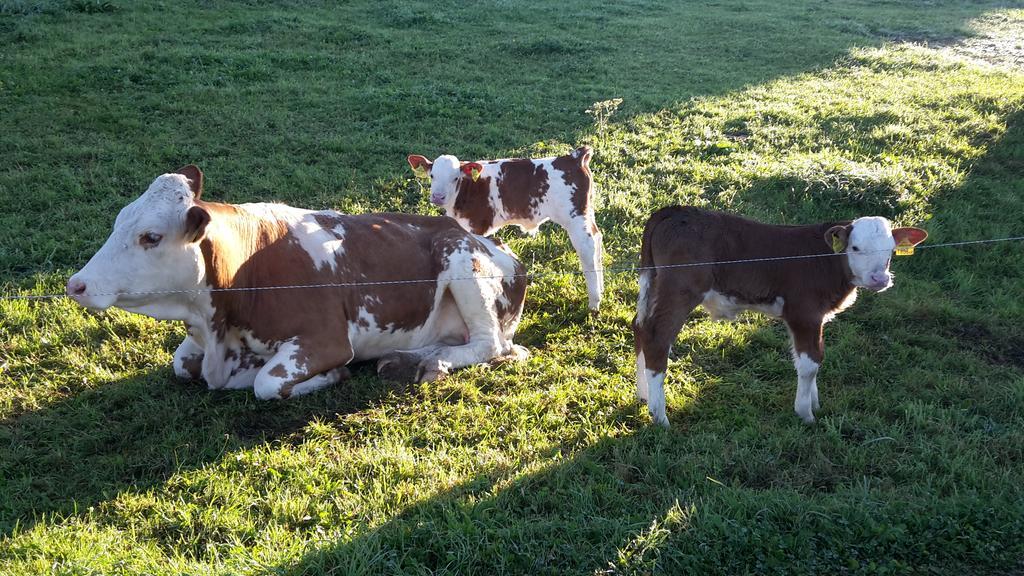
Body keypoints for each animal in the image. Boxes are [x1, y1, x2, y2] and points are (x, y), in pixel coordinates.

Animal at [66, 166, 528, 399]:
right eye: (118, 221)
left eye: (151, 236)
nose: (76, 284)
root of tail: (497, 241)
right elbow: (182, 364)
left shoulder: (325, 340)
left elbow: (267, 383)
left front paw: (328, 377)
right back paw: (407, 360)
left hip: (460, 259)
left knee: (490, 345)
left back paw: (427, 363)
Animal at [403, 146, 602, 309]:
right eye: (432, 176)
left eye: (455, 178)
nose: (438, 197)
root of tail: (573, 157)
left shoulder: (477, 226)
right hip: (587, 213)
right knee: (597, 238)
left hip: (574, 216)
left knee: (587, 247)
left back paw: (594, 301)